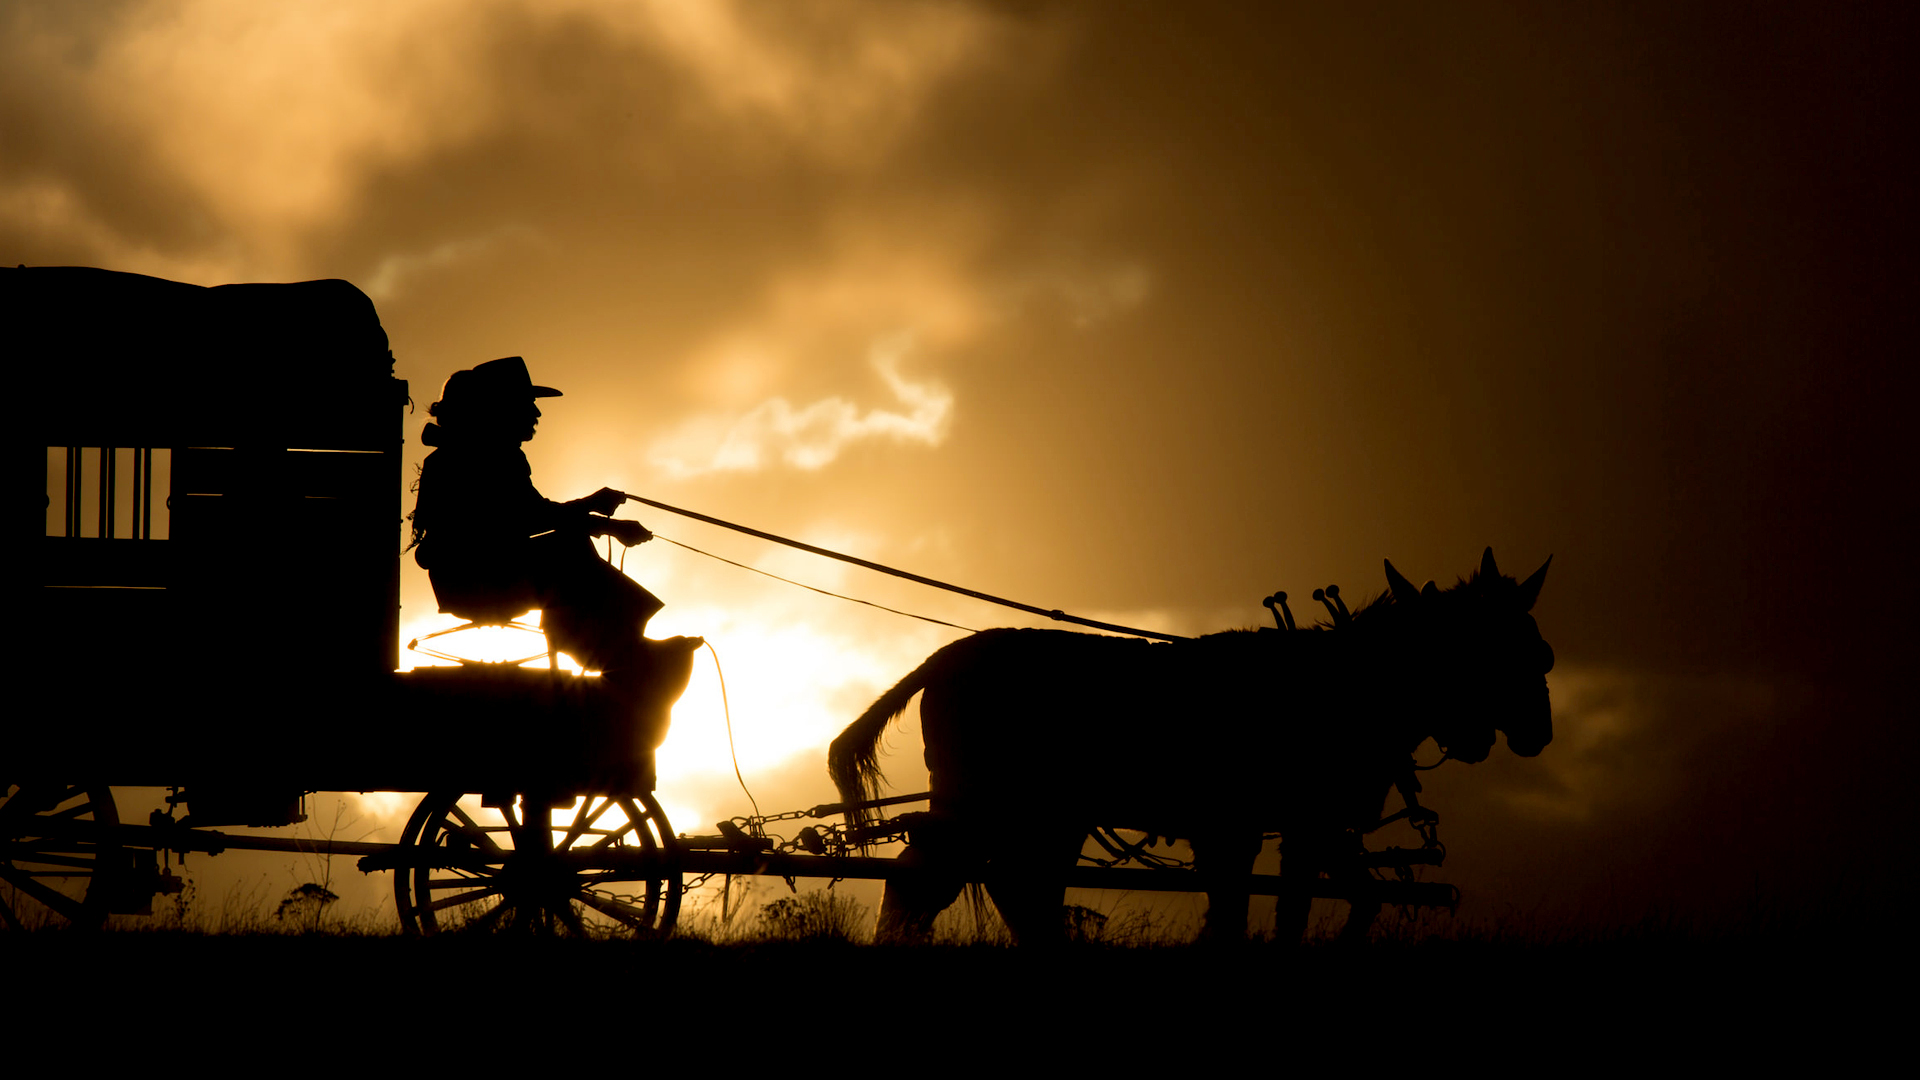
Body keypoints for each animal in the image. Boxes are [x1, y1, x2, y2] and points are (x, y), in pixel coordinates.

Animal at [833, 545, 1551, 941]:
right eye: (1483, 651)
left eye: (1540, 653)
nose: (1535, 734)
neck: (1346, 684)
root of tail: (946, 658)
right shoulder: (1281, 826)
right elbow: (1261, 912)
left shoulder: (1295, 828)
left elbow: (1326, 902)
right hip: (987, 804)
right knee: (941, 883)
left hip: (1037, 814)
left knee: (1000, 886)